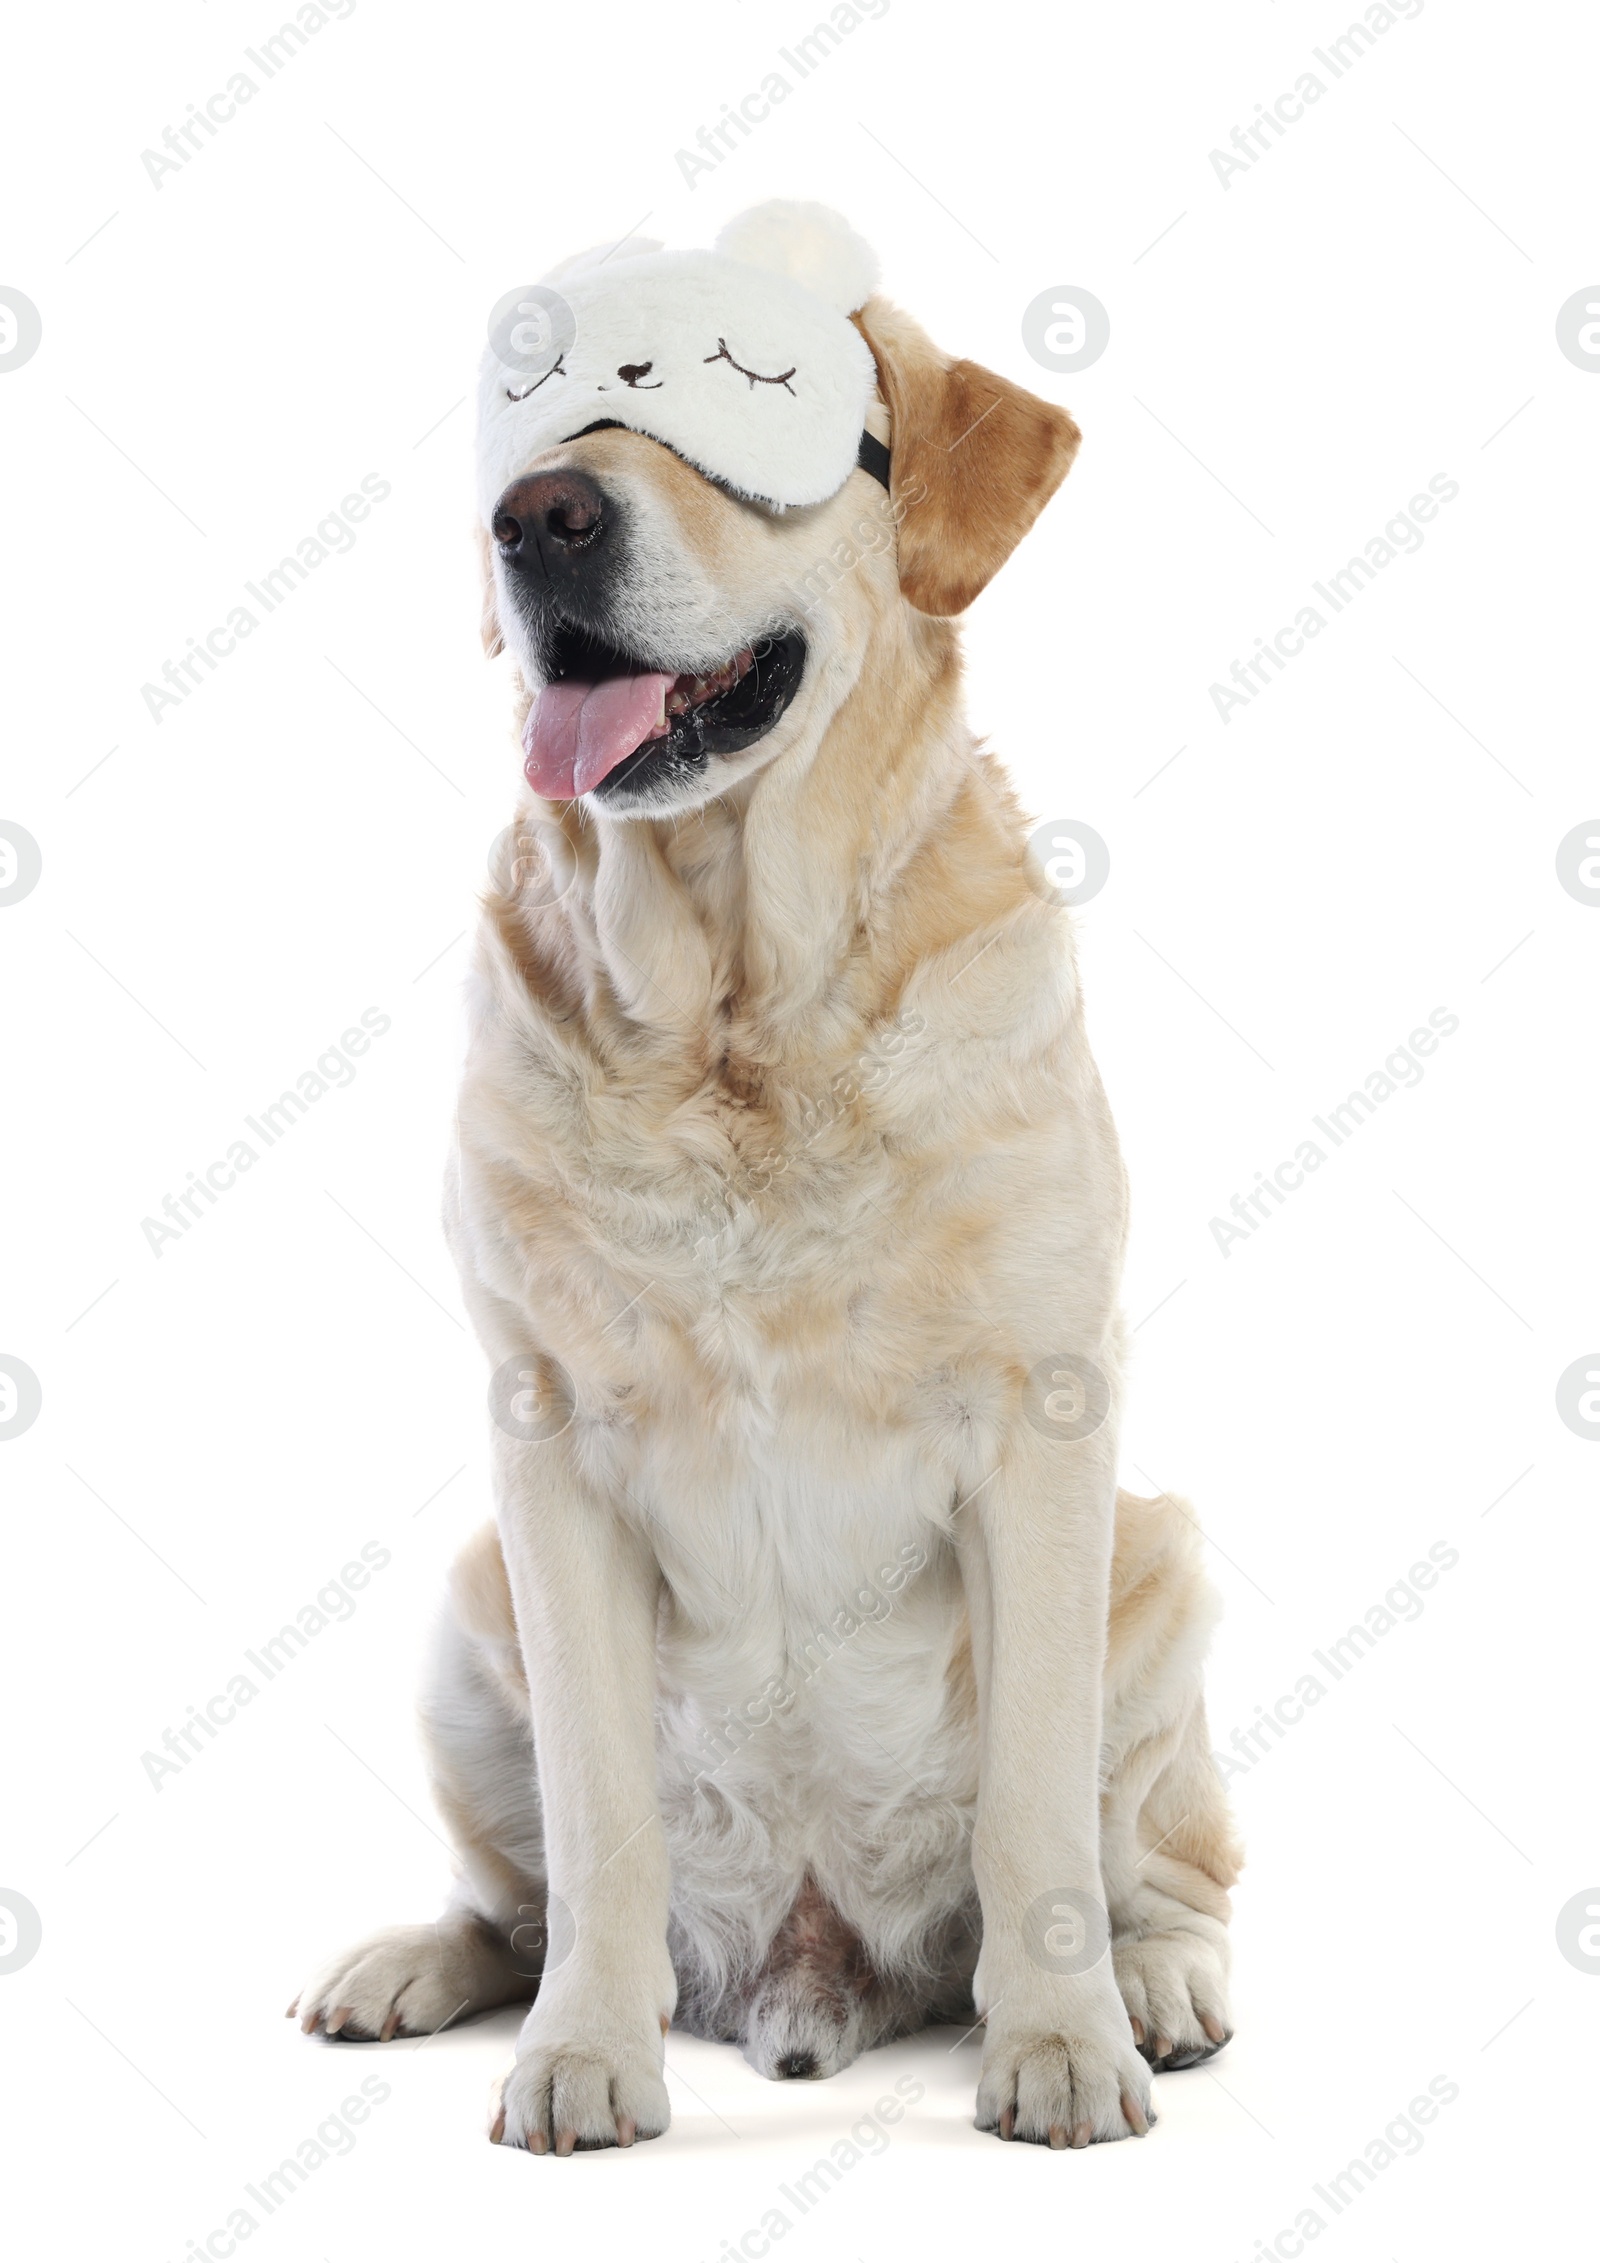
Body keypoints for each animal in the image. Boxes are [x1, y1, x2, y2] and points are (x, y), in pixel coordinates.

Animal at [291, 212, 1240, 2154]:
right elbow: (598, 1824)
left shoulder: (1043, 1426)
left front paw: (1060, 2044)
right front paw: (585, 2052)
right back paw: (417, 1964)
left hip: (1166, 1563)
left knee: (1164, 1864)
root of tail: (817, 1965)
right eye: (539, 405)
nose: (540, 519)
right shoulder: (548, 1450)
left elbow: (1036, 1805)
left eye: (740, 389)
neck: (740, 1009)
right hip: (466, 1605)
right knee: (513, 1893)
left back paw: (1159, 1985)